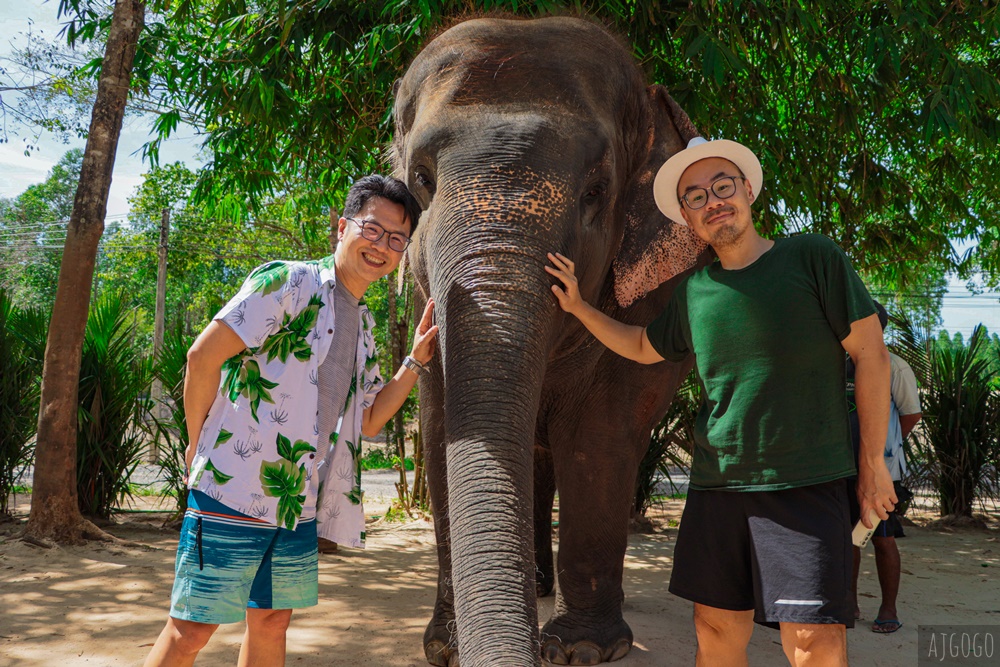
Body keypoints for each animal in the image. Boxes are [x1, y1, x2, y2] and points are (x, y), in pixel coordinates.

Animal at [392, 15, 712, 667]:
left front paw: (582, 649)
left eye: (596, 192)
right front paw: (444, 647)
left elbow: (600, 433)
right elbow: (438, 431)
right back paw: (536, 586)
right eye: (421, 180)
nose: (537, 650)